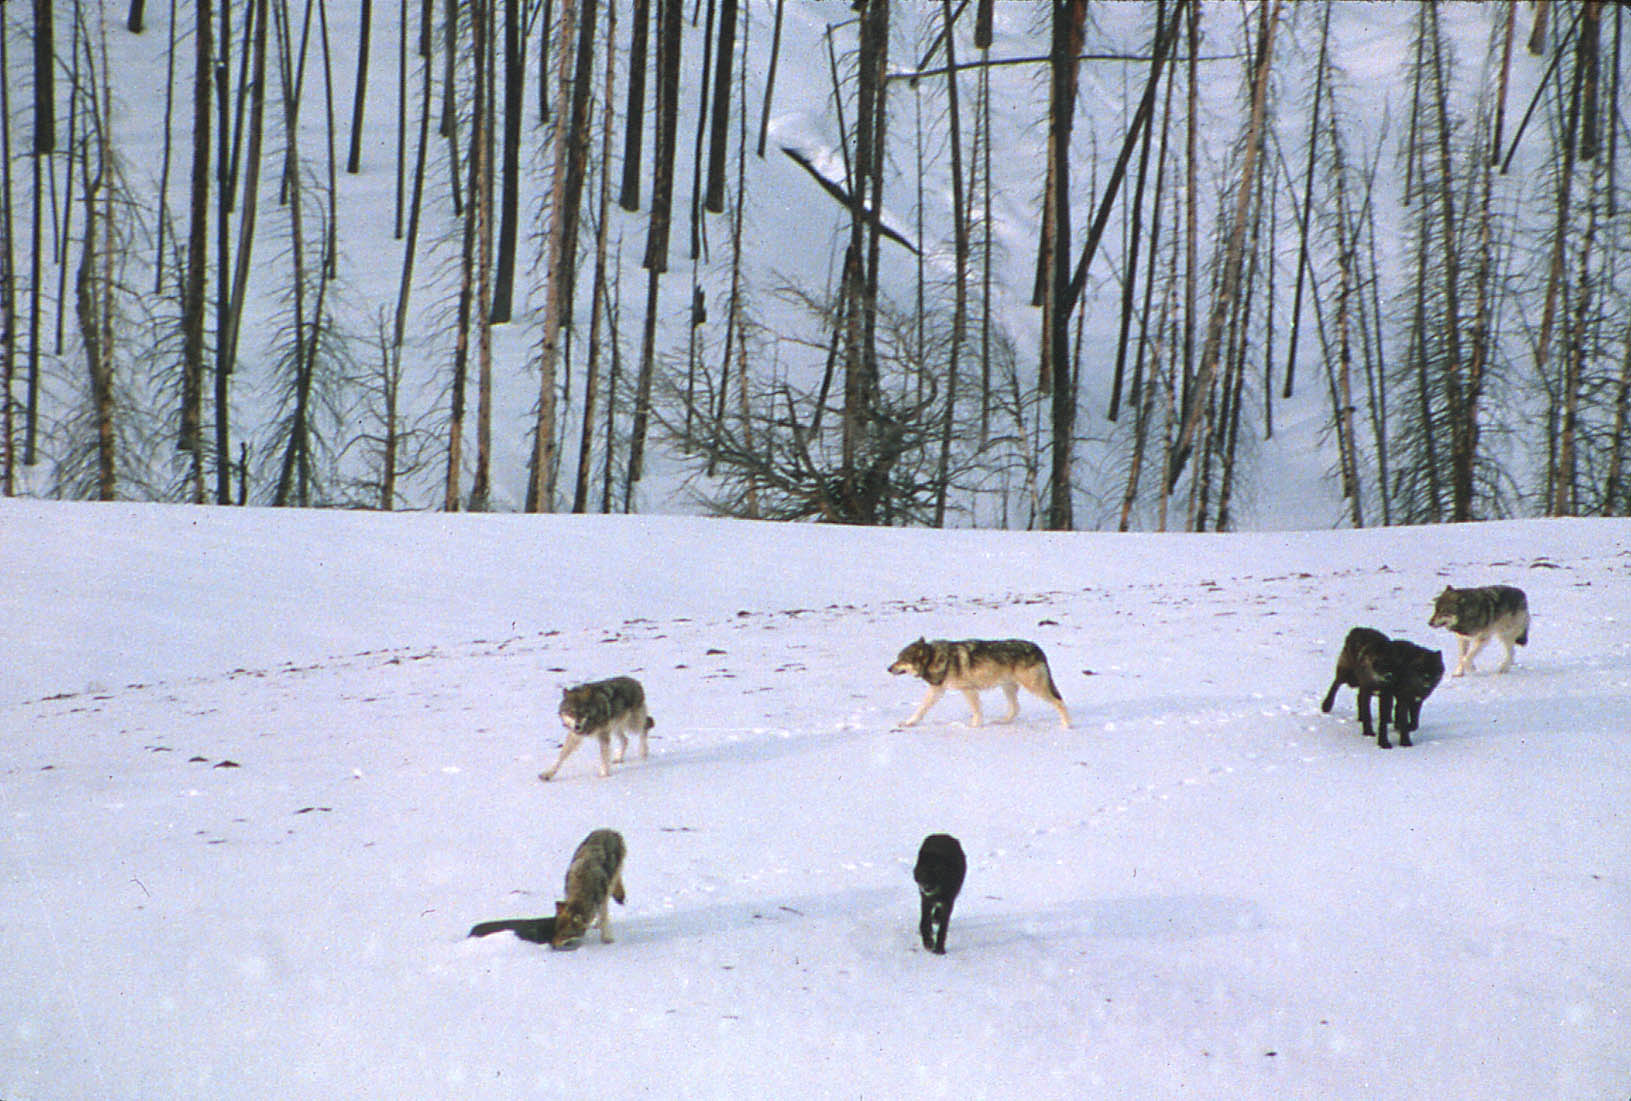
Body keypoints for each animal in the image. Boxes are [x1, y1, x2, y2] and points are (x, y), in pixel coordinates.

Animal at [888, 638, 1071, 729]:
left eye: (901, 660)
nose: (888, 668)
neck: (935, 657)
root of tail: (1038, 649)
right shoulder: (936, 690)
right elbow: (920, 709)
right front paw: (909, 723)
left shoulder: (968, 690)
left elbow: (976, 711)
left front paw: (974, 728)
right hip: (1007, 687)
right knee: (1015, 708)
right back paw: (1001, 722)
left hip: (1034, 687)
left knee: (1060, 702)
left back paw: (1066, 725)